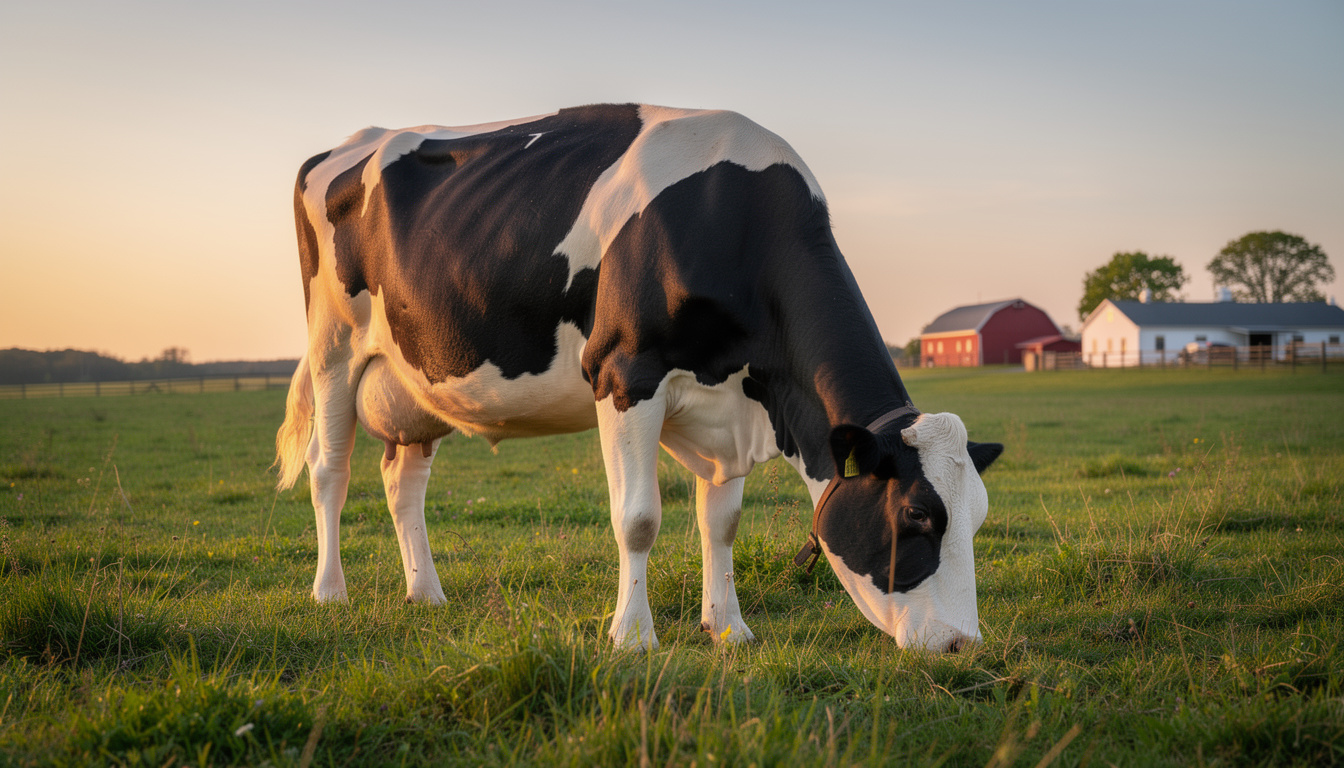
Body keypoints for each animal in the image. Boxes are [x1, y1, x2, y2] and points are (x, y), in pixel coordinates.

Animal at [275, 104, 1002, 652]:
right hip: (333, 348)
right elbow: (639, 519)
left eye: (979, 518)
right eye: (916, 514)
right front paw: (632, 637)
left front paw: (728, 629)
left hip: (415, 383)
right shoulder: (626, 374)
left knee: (402, 483)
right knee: (329, 472)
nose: (961, 643)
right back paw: (330, 592)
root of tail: (350, 142)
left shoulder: (730, 405)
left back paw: (426, 593)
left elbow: (722, 523)